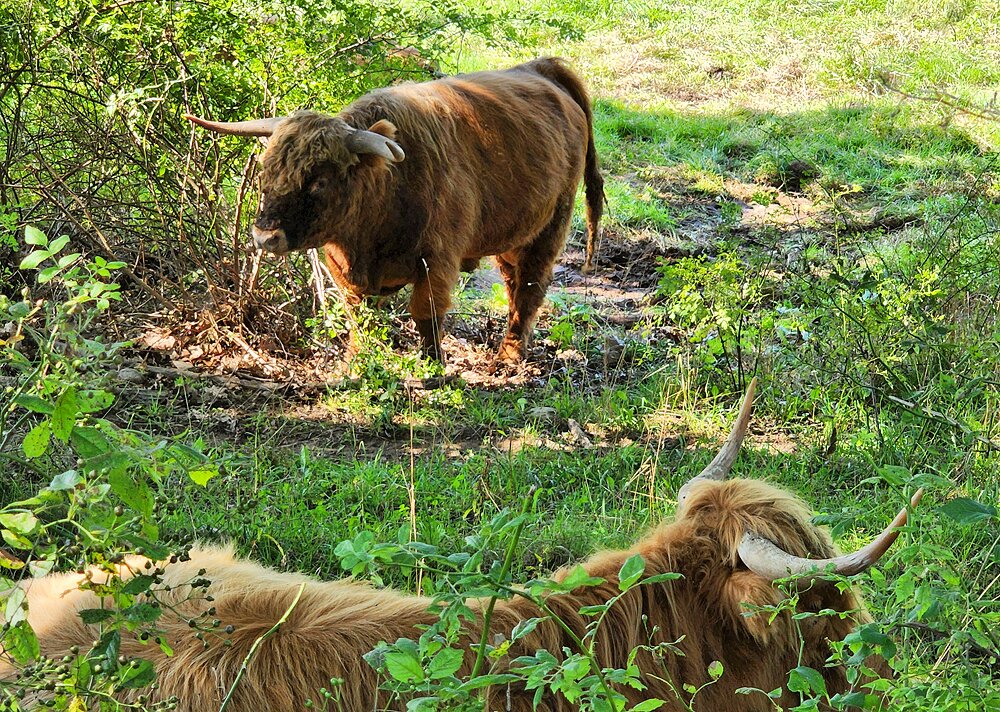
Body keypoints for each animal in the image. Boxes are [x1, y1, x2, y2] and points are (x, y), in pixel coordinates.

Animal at [182, 57, 600, 362]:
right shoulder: (344, 272)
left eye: (319, 181)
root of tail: (538, 69)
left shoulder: (438, 260)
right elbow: (359, 318)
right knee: (514, 283)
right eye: (267, 171)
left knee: (530, 287)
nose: (265, 235)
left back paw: (510, 355)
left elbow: (426, 314)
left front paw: (433, 366)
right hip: (513, 231)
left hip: (552, 225)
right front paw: (356, 361)